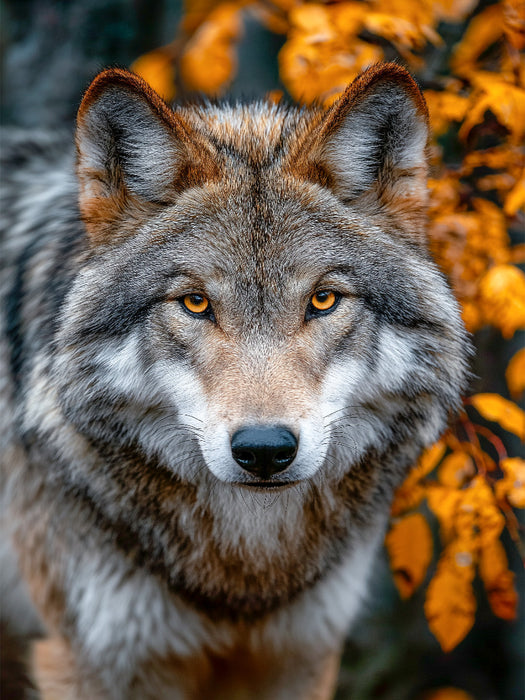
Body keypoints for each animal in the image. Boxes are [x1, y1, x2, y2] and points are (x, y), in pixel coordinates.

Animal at [0, 63, 470, 699]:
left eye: (323, 300)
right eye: (195, 303)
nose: (264, 450)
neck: (244, 573)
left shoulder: (300, 653)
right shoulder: (91, 660)